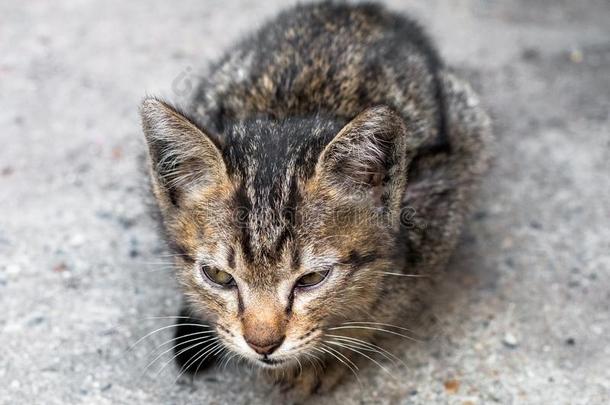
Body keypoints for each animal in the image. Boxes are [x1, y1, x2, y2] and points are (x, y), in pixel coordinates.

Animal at [139, 0, 490, 398]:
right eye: (218, 276)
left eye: (312, 279)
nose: (262, 344)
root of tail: (362, 10)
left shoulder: (442, 200)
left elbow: (391, 302)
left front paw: (327, 356)